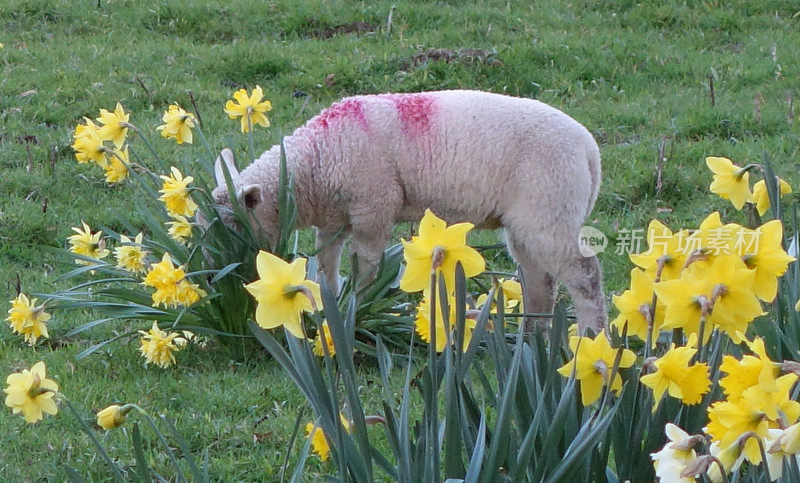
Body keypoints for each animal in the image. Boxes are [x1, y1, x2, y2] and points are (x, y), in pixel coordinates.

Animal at [212, 90, 608, 332]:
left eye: (236, 229)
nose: (220, 279)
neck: (313, 163)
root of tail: (589, 149)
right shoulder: (334, 219)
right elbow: (326, 267)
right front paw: (329, 306)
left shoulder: (373, 207)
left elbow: (367, 267)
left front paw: (360, 307)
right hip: (530, 220)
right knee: (541, 281)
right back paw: (532, 337)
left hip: (549, 209)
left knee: (584, 274)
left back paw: (591, 337)